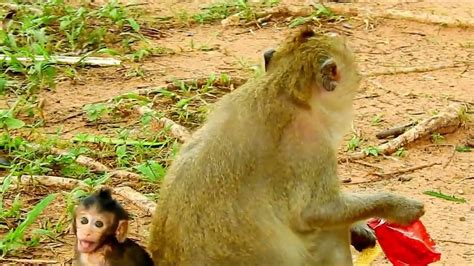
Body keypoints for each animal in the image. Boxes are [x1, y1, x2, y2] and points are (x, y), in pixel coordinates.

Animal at [147, 28, 422, 264]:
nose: (358, 75)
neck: (285, 89)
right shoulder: (311, 144)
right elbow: (316, 212)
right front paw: (398, 207)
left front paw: (359, 228)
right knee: (327, 232)